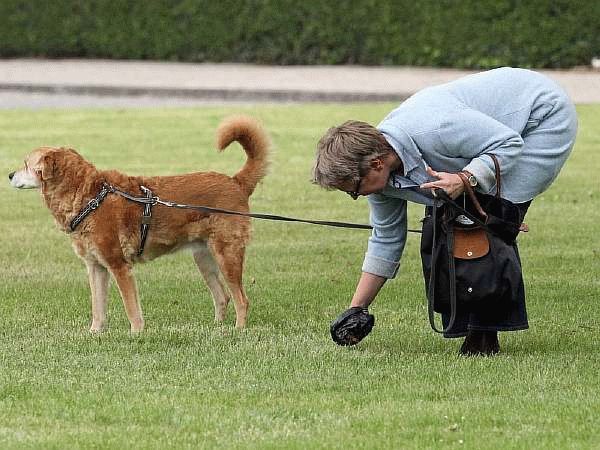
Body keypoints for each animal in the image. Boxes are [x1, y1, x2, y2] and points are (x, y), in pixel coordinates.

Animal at [7, 114, 268, 332]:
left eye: (26, 164)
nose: (9, 175)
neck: (90, 197)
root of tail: (235, 182)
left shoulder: (119, 266)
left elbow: (131, 307)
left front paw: (136, 334)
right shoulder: (96, 267)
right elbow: (98, 308)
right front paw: (94, 334)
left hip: (227, 255)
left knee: (242, 299)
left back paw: (238, 330)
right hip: (204, 258)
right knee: (223, 297)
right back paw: (216, 329)